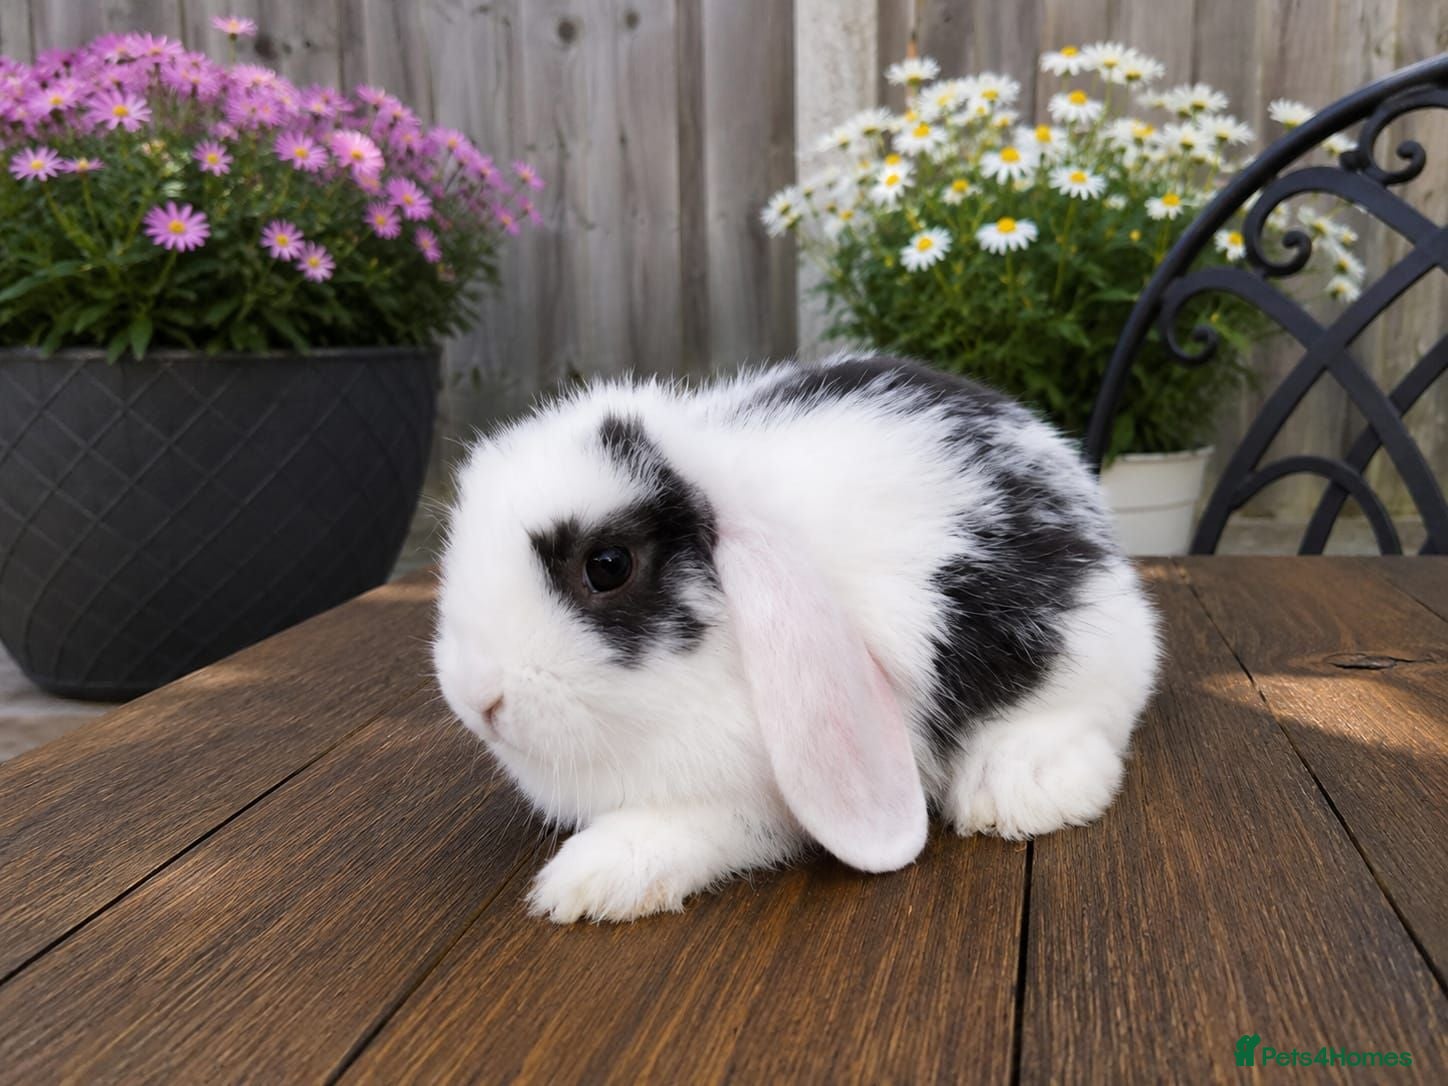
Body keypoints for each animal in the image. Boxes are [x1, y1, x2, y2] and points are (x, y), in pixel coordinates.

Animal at [433, 354, 1161, 923]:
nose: (476, 699)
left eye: (607, 565)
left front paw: (592, 879)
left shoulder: (755, 796)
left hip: (1094, 642)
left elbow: (688, 822)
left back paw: (1017, 789)